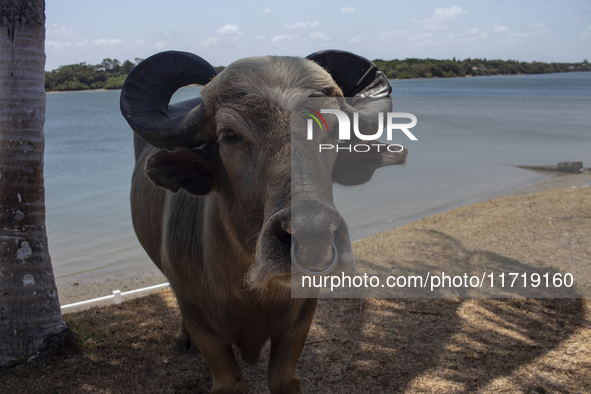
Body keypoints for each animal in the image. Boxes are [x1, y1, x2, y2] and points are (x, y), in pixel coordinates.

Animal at [119, 50, 408, 394]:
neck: (251, 291)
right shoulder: (202, 324)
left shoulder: (301, 318)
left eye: (334, 133)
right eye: (229, 136)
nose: (313, 237)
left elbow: (285, 379)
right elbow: (227, 381)